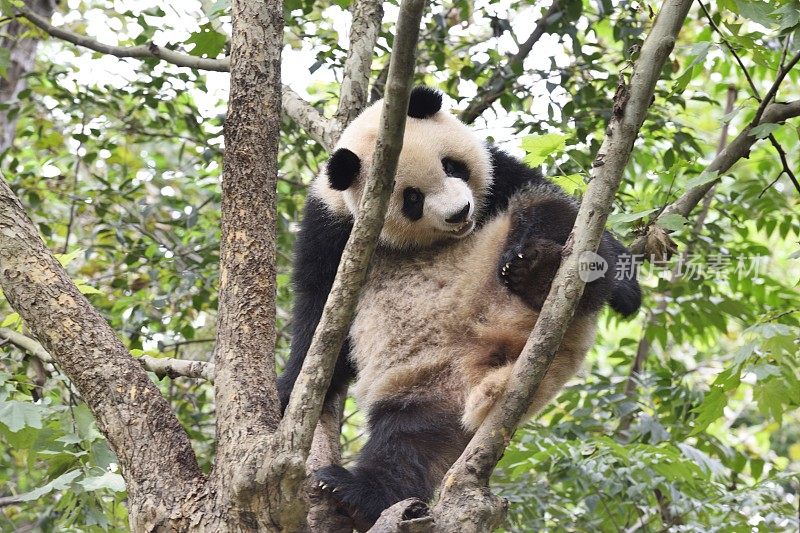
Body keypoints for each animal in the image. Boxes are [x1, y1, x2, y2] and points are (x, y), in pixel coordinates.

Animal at [278, 87, 640, 528]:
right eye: (411, 198)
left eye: (452, 166)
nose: (460, 213)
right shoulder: (331, 226)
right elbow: (319, 316)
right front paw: (287, 390)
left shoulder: (500, 175)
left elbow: (558, 203)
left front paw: (625, 290)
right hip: (423, 383)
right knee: (409, 442)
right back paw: (354, 492)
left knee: (548, 212)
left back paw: (538, 273)